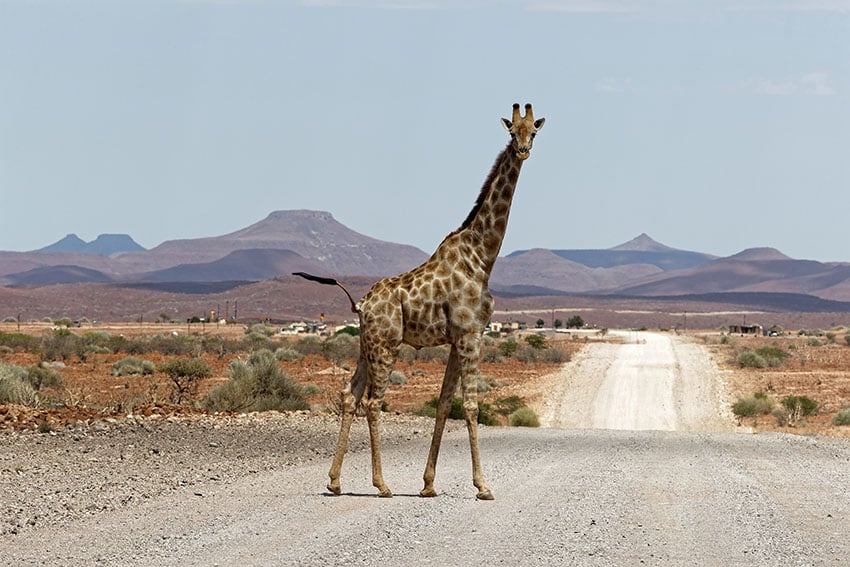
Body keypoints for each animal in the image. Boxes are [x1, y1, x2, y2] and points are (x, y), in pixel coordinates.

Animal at [292, 103, 544, 502]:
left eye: (533, 131)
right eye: (511, 132)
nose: (522, 150)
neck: (482, 257)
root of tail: (360, 305)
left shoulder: (459, 339)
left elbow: (443, 405)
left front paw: (428, 484)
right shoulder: (470, 335)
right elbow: (470, 406)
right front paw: (483, 486)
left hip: (366, 346)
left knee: (349, 395)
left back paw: (334, 481)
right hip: (387, 346)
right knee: (372, 403)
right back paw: (381, 485)